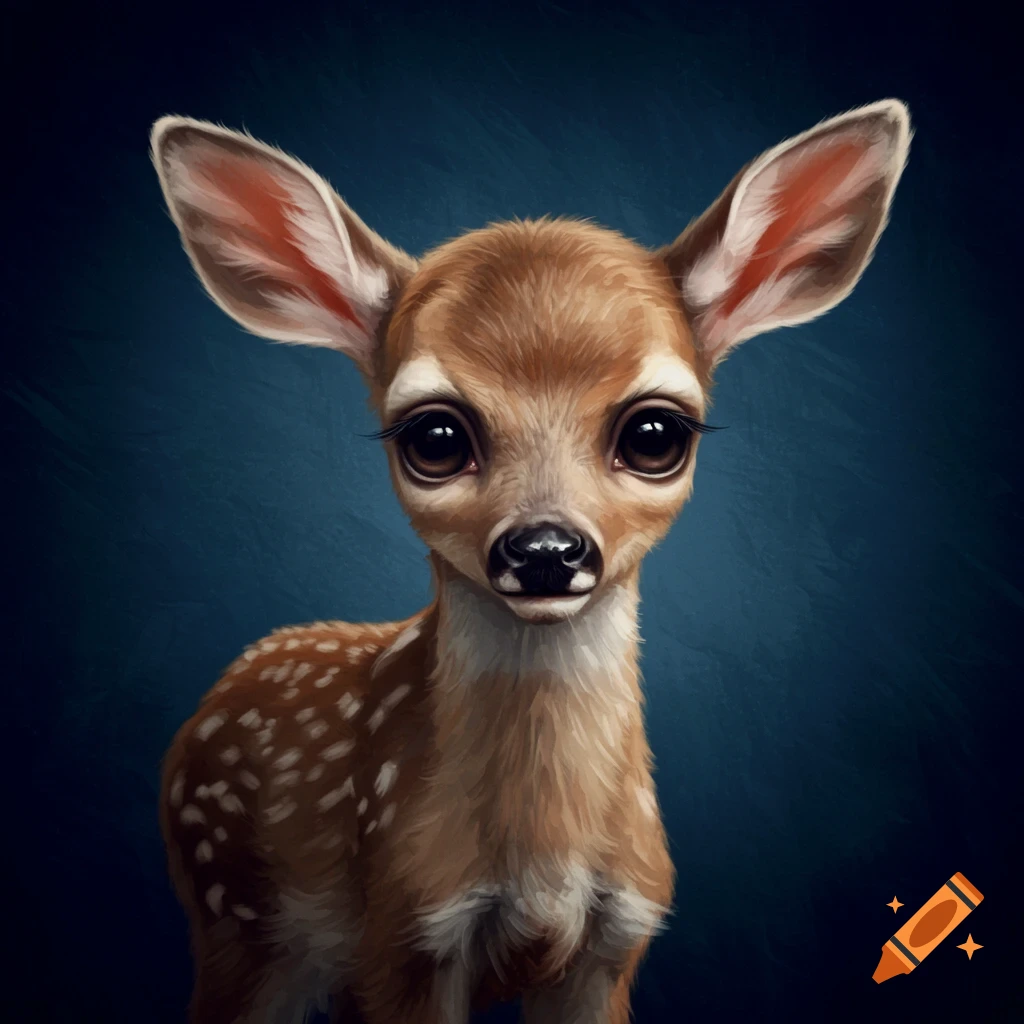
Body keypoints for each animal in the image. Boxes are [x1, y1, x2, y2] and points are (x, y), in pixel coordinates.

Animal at [152, 98, 911, 1023]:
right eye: (434, 436)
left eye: (656, 432)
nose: (546, 549)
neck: (543, 863)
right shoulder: (403, 936)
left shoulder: (617, 937)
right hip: (231, 914)